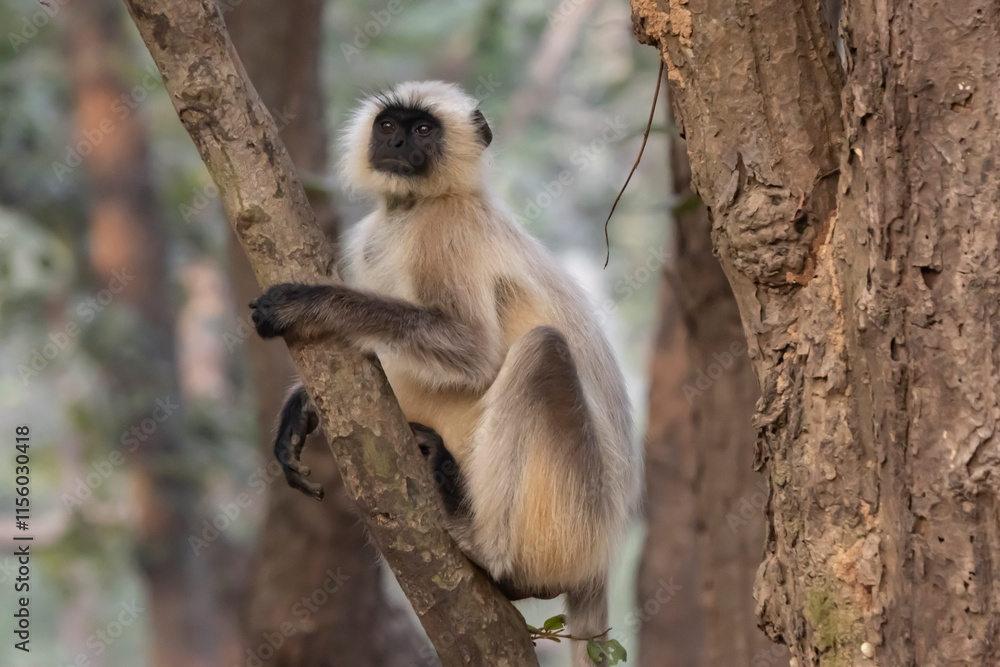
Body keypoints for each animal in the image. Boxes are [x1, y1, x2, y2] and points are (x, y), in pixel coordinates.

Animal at [249, 81, 641, 666]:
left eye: (424, 129)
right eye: (390, 126)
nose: (399, 143)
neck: (412, 209)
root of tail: (599, 562)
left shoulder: (446, 232)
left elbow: (472, 353)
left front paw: (310, 304)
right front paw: (301, 407)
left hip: (571, 519)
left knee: (543, 352)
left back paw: (489, 549)